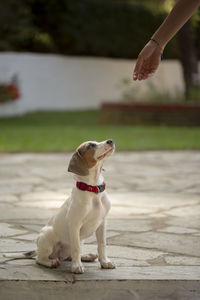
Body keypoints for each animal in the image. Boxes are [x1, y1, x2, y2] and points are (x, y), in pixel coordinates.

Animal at [3, 139, 115, 274]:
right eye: (91, 145)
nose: (110, 141)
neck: (93, 190)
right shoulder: (75, 224)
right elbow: (76, 248)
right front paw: (77, 267)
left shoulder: (102, 223)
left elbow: (102, 245)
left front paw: (105, 262)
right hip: (48, 235)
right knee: (40, 258)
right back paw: (51, 262)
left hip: (79, 240)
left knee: (69, 256)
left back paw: (87, 256)